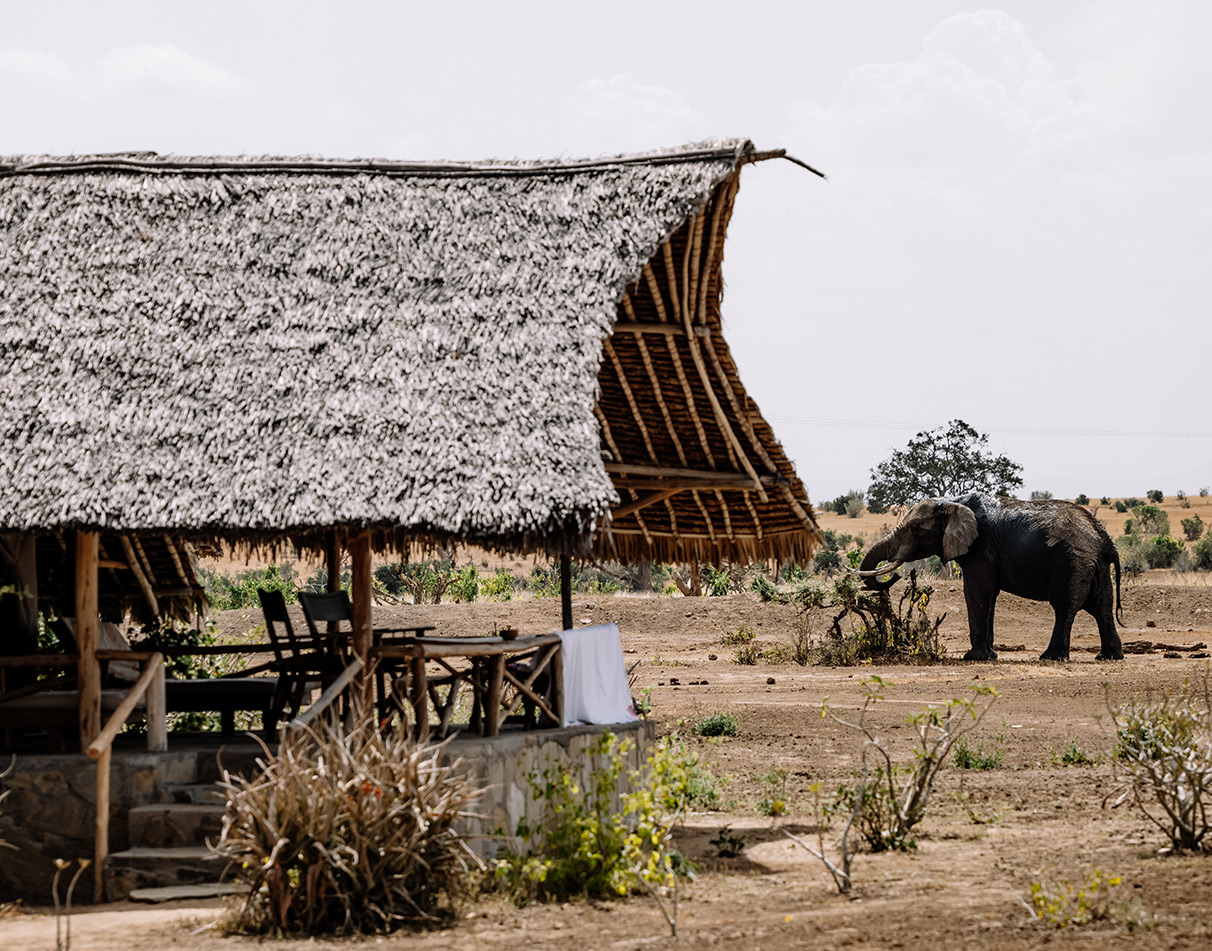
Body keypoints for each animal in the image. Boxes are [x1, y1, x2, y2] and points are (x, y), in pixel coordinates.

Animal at [854, 494, 1123, 661]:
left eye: (915, 529)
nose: (897, 575)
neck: (951, 502)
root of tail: (1106, 541)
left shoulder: (980, 547)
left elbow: (977, 592)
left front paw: (973, 657)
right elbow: (989, 594)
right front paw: (990, 656)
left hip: (1071, 562)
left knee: (1065, 608)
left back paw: (1051, 657)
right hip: (1094, 566)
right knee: (1102, 609)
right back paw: (1108, 657)